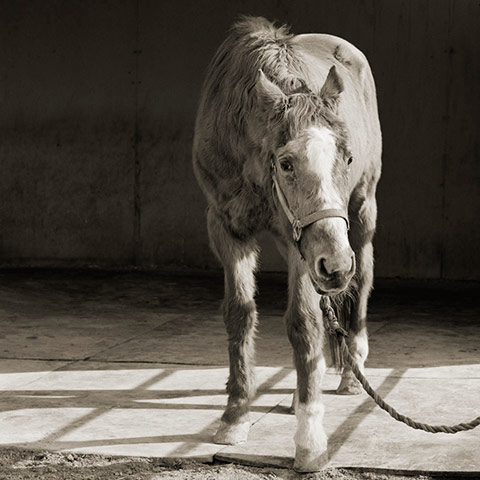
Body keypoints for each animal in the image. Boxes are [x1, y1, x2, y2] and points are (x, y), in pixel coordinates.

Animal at [191, 15, 382, 472]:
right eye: (286, 162)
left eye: (347, 157)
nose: (337, 265)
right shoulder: (226, 228)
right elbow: (239, 314)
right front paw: (235, 415)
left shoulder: (306, 247)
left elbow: (303, 323)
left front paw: (310, 442)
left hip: (359, 216)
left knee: (362, 281)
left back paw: (350, 372)